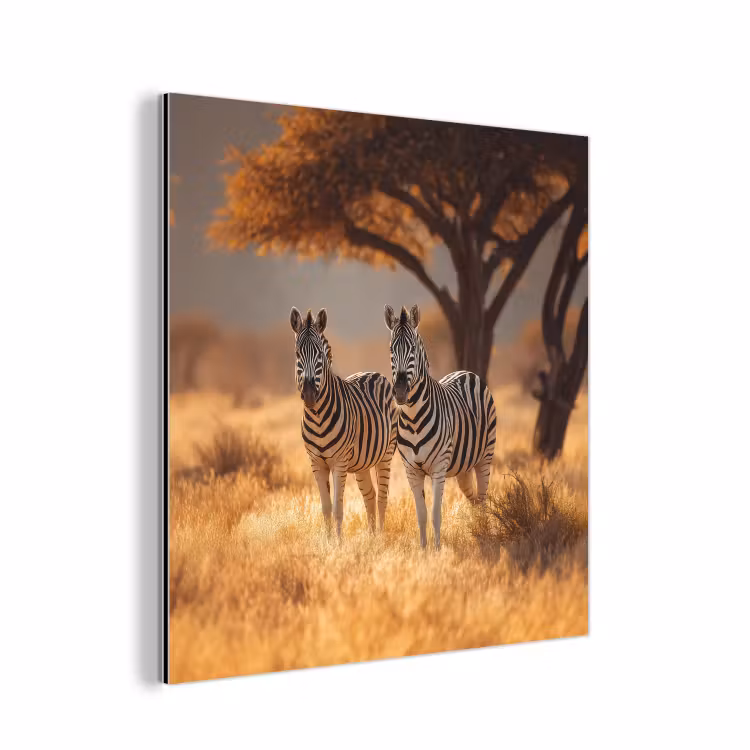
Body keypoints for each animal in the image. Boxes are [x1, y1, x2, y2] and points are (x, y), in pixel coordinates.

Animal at [291, 307, 398, 538]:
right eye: (297, 354)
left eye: (320, 355)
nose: (310, 394)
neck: (318, 417)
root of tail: (374, 373)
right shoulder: (316, 463)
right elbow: (325, 508)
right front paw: (328, 541)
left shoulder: (338, 462)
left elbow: (338, 509)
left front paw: (338, 543)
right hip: (362, 463)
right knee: (370, 495)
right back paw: (371, 538)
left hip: (386, 454)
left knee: (382, 497)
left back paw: (380, 538)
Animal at [384, 304, 497, 549]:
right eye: (391, 349)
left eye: (413, 349)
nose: (400, 392)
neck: (414, 418)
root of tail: (466, 372)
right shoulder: (411, 470)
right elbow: (421, 514)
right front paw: (423, 550)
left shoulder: (438, 468)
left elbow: (436, 514)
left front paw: (437, 550)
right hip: (463, 467)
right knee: (474, 499)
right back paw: (477, 530)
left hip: (485, 457)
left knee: (483, 498)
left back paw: (485, 534)